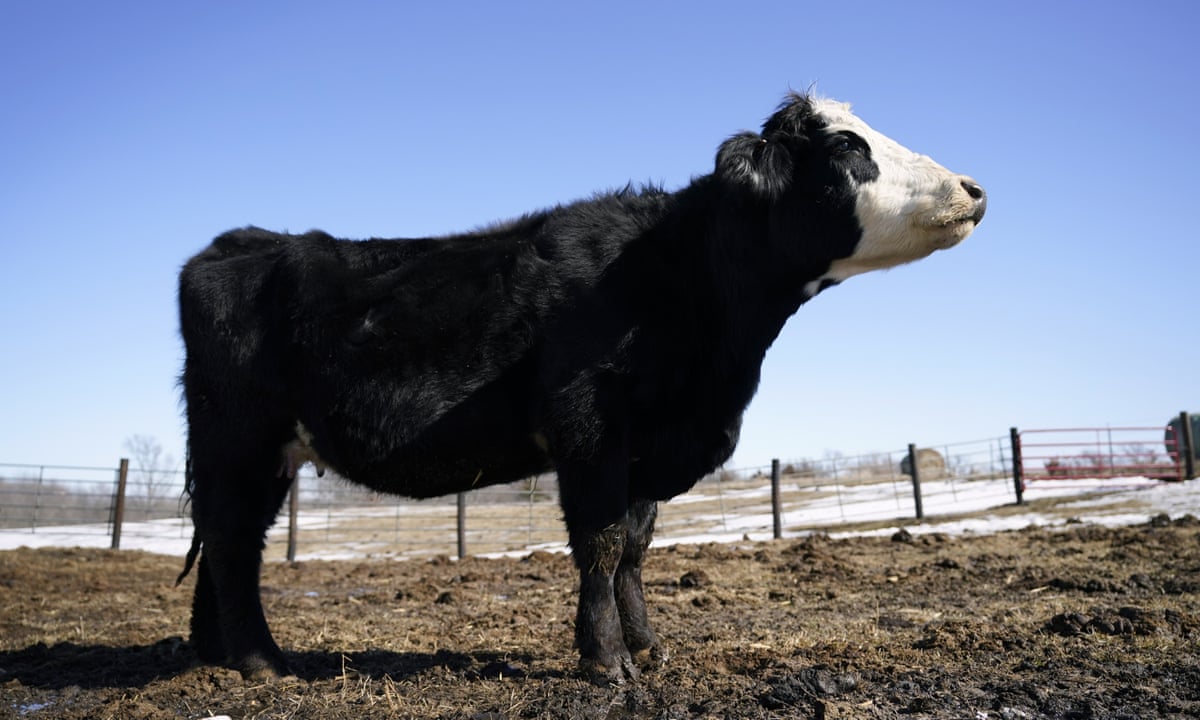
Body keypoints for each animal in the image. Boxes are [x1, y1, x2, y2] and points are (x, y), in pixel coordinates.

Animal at [175, 93, 984, 681]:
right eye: (847, 147)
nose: (973, 188)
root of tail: (234, 243)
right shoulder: (589, 427)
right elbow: (599, 541)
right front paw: (607, 661)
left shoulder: (650, 446)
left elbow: (635, 547)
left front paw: (650, 646)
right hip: (237, 438)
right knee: (233, 542)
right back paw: (261, 662)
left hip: (260, 453)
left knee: (226, 541)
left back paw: (217, 654)